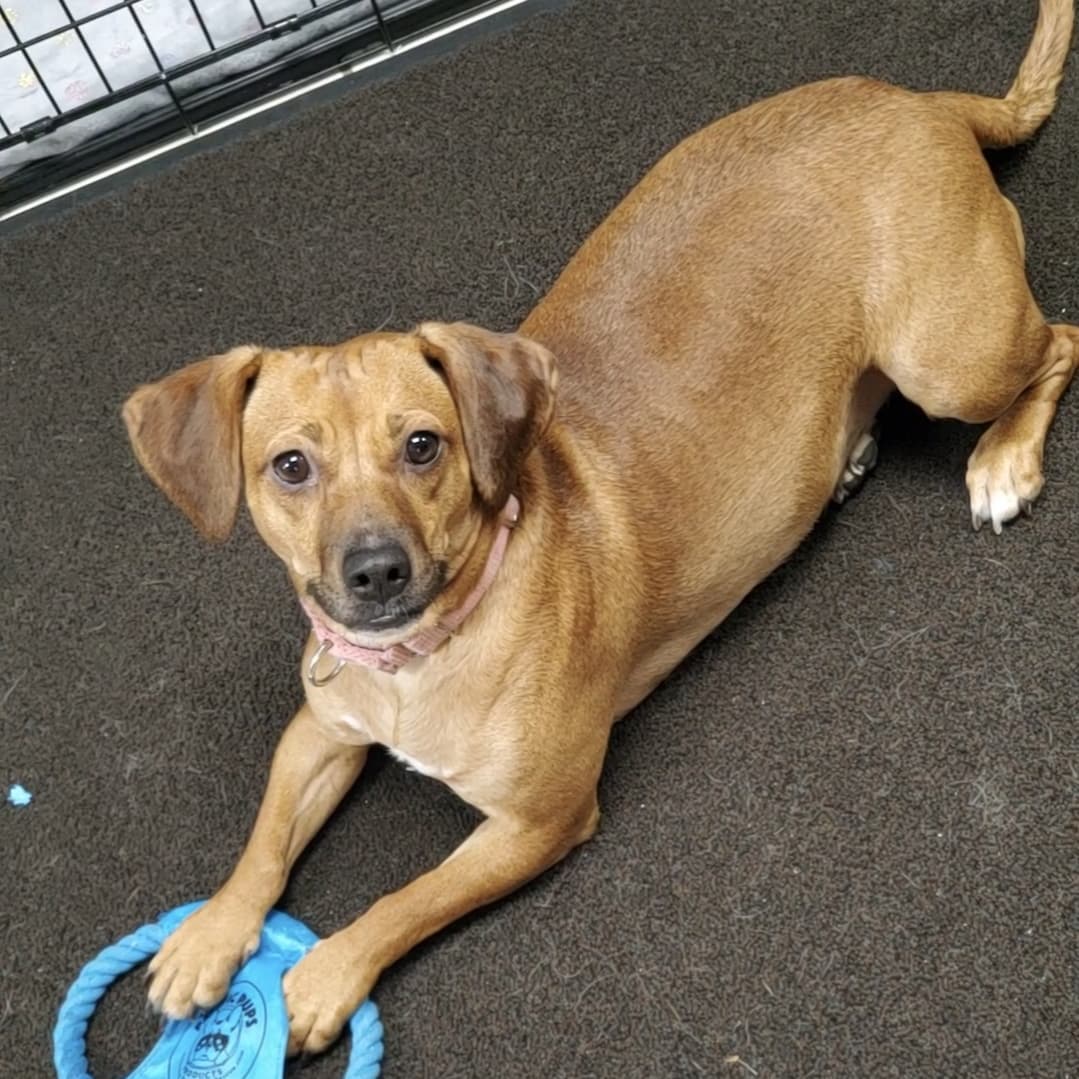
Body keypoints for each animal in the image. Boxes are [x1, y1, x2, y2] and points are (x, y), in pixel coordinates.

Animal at [122, 0, 1074, 1057]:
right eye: (289, 466)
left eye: (422, 446)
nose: (373, 571)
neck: (417, 660)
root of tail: (922, 103)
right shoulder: (321, 728)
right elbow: (263, 839)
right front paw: (211, 933)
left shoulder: (536, 821)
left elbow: (407, 899)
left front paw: (325, 973)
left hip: (948, 356)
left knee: (1060, 341)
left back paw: (1001, 459)